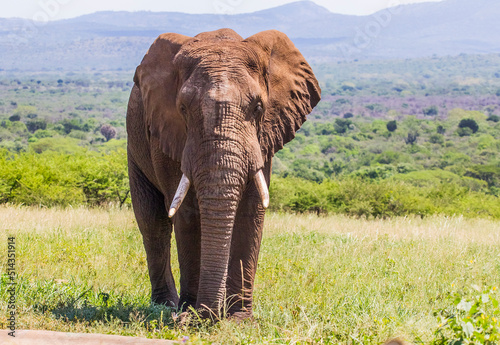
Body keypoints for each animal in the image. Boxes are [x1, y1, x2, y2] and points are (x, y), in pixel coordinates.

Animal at [126, 27, 320, 320]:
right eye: (182, 109)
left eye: (258, 108)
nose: (210, 314)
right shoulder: (167, 134)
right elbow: (186, 212)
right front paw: (189, 316)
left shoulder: (264, 136)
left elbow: (252, 210)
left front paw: (239, 320)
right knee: (152, 222)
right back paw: (165, 306)